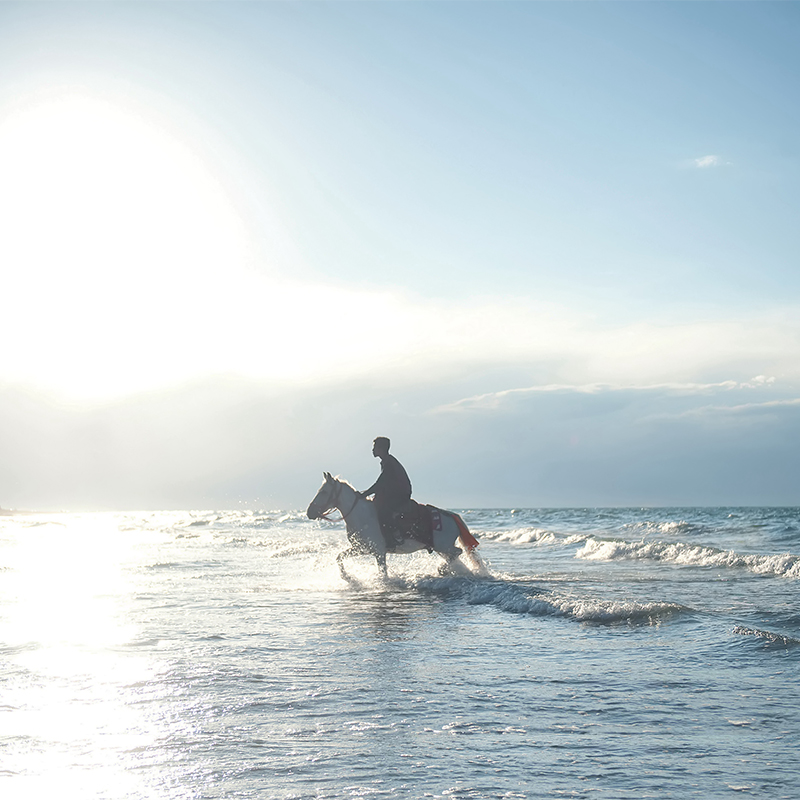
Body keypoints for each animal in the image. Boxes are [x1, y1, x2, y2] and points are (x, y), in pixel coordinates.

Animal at [308, 472, 482, 580]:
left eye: (323, 492)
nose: (310, 512)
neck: (361, 515)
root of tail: (451, 516)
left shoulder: (378, 552)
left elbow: (383, 573)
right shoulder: (362, 548)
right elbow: (339, 557)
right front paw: (347, 577)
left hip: (443, 546)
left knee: (457, 552)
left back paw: (443, 570)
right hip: (440, 548)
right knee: (455, 556)